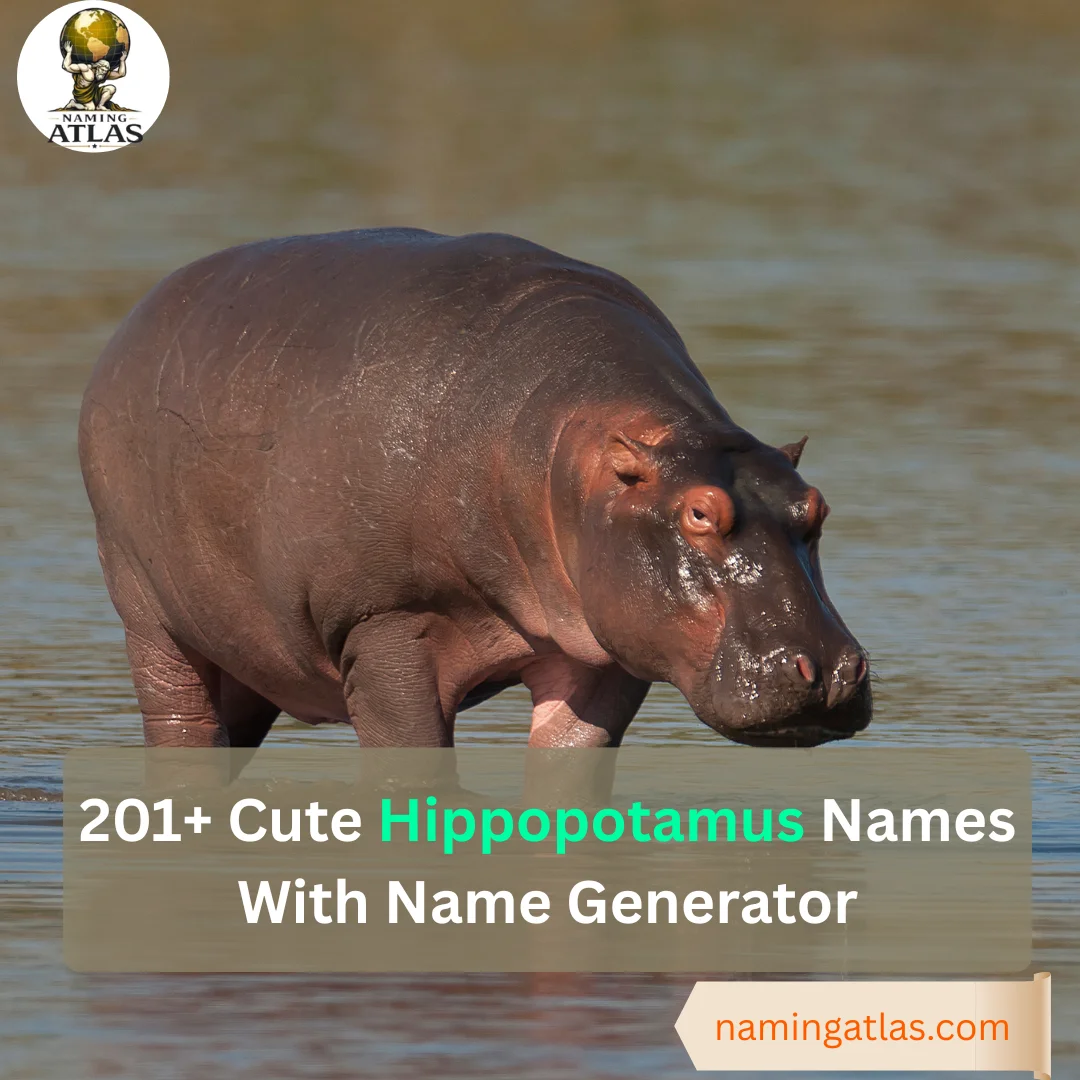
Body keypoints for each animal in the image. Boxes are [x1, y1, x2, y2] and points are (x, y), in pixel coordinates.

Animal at [78, 228, 871, 750]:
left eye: (818, 507)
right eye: (700, 512)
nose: (831, 670)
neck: (556, 450)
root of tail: (132, 324)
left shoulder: (605, 653)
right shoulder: (384, 625)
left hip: (245, 651)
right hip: (147, 615)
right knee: (180, 724)